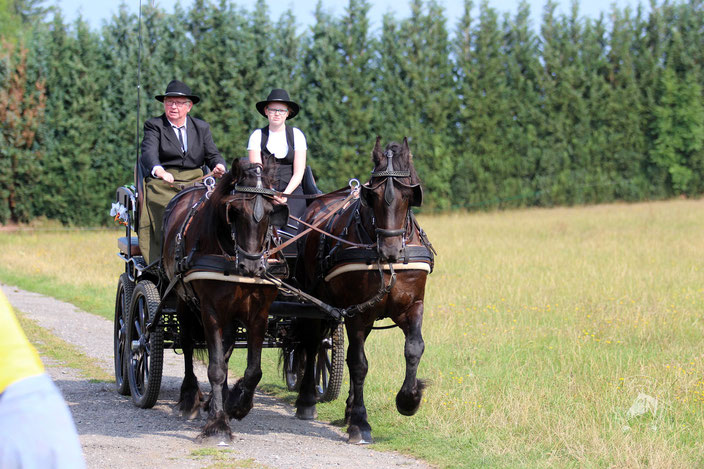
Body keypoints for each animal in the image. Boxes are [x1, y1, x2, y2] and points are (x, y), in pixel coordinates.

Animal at [161, 159, 288, 440]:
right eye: (235, 210)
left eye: (271, 211)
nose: (252, 266)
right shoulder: (211, 311)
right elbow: (215, 368)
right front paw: (217, 424)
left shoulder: (259, 313)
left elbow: (253, 370)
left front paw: (236, 406)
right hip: (183, 300)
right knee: (188, 345)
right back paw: (190, 398)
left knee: (227, 348)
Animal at [290, 135, 434, 442]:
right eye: (374, 196)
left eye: (408, 195)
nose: (390, 250)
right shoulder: (356, 313)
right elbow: (359, 364)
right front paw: (360, 421)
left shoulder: (412, 305)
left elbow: (414, 348)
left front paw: (409, 399)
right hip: (313, 300)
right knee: (311, 343)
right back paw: (307, 400)